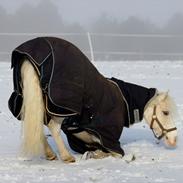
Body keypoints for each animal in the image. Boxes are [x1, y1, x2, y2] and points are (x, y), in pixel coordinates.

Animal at [8, 36, 177, 162]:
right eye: (166, 112)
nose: (174, 140)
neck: (125, 100)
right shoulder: (108, 136)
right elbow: (114, 153)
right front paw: (94, 155)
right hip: (63, 107)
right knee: (52, 126)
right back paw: (66, 157)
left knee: (35, 121)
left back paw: (51, 154)